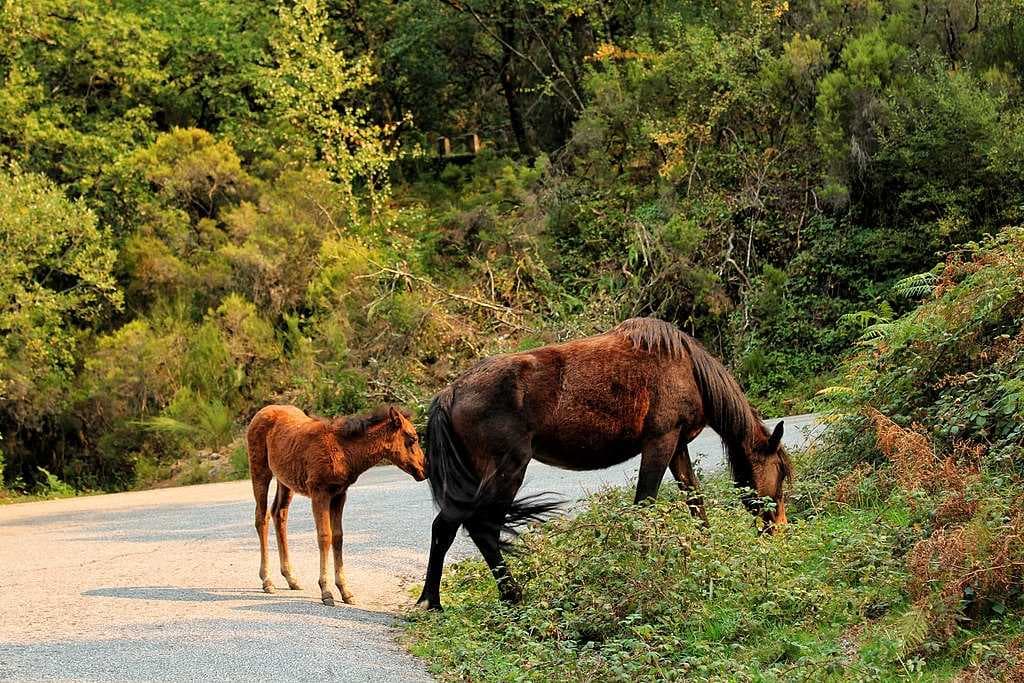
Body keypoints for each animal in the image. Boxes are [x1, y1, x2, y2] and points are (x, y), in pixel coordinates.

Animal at [247, 404, 426, 606]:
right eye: (412, 438)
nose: (425, 468)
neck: (345, 453)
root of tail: (260, 413)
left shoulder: (340, 494)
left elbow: (338, 537)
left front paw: (345, 590)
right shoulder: (319, 492)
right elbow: (325, 537)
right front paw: (326, 591)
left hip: (284, 480)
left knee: (279, 513)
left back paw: (291, 578)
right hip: (260, 469)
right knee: (262, 517)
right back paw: (267, 580)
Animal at [417, 317, 791, 610]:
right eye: (781, 475)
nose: (779, 529)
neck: (688, 369)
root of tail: (450, 393)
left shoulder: (677, 446)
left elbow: (695, 501)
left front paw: (706, 549)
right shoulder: (660, 442)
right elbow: (645, 504)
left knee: (445, 527)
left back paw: (432, 601)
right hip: (507, 470)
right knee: (482, 528)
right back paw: (512, 594)